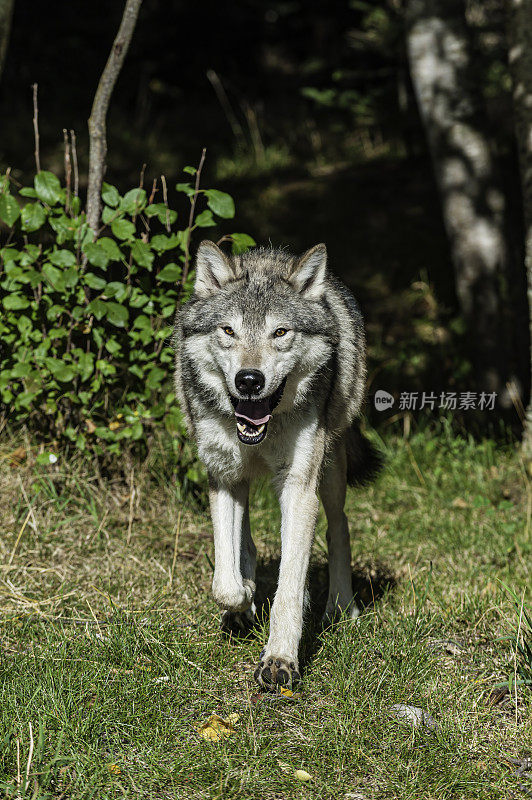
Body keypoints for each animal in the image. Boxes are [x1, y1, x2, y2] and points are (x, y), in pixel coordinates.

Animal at [175, 241, 378, 692]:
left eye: (280, 333)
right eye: (229, 331)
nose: (249, 380)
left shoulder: (299, 488)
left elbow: (289, 584)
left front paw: (280, 660)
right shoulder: (223, 476)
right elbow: (224, 580)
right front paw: (242, 599)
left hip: (329, 470)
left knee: (339, 528)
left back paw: (341, 605)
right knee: (246, 542)